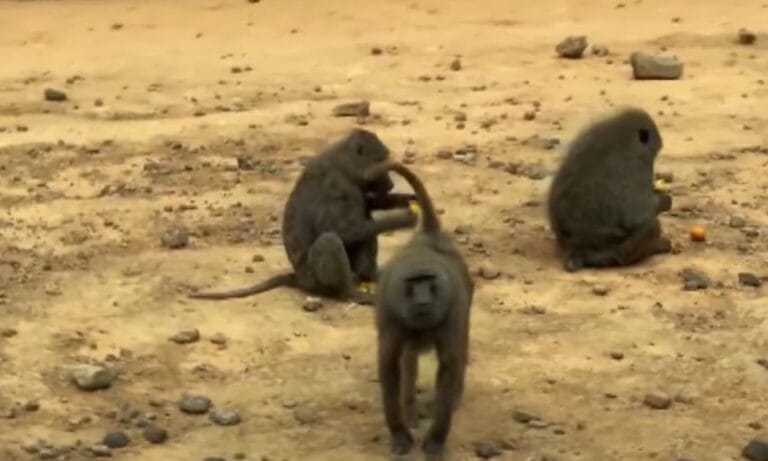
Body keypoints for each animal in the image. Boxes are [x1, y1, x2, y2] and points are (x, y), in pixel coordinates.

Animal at [188, 128, 418, 304]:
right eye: (381, 160)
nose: (390, 184)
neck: (344, 163)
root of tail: (298, 278)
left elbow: (368, 205)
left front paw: (409, 199)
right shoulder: (339, 187)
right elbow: (341, 229)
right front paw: (404, 218)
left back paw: (371, 277)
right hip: (313, 278)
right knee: (330, 240)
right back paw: (350, 293)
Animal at [365, 161, 473, 461]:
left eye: (429, 281)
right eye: (413, 283)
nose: (424, 301)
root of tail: (430, 235)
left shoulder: (452, 309)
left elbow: (449, 366)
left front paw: (436, 440)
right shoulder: (391, 314)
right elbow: (390, 365)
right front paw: (400, 434)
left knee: (460, 349)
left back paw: (454, 397)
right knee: (409, 356)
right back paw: (410, 409)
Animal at [547, 106, 673, 272]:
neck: (622, 136)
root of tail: (574, 250)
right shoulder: (636, 166)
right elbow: (636, 216)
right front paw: (664, 201)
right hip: (614, 252)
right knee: (651, 226)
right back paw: (653, 248)